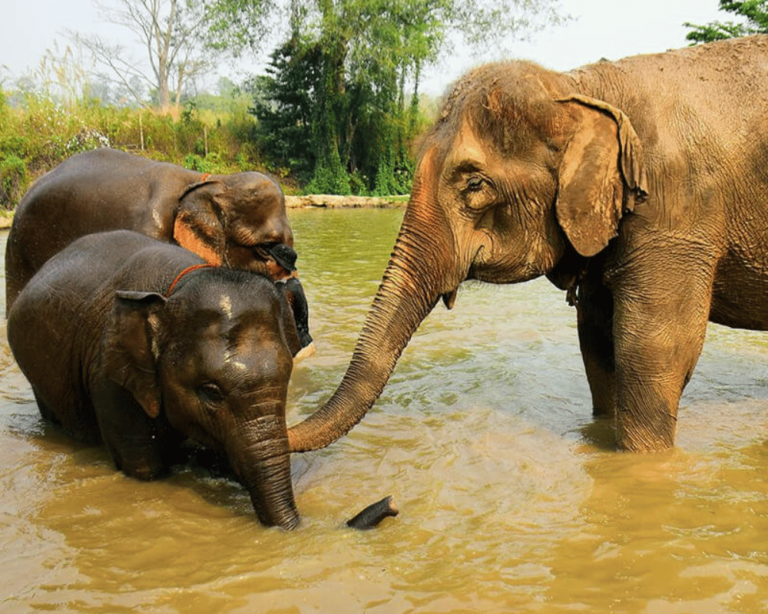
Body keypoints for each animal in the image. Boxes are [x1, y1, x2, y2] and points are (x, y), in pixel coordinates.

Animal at [284, 36, 768, 454]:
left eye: (474, 184)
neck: (579, 87)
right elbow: (597, 339)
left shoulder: (677, 214)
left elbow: (653, 349)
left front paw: (643, 462)